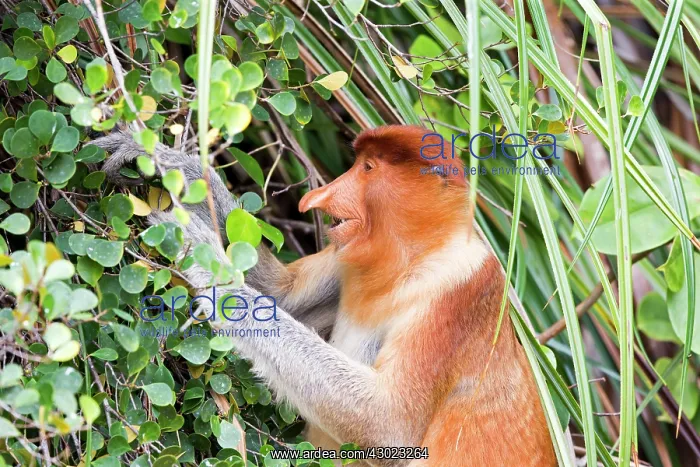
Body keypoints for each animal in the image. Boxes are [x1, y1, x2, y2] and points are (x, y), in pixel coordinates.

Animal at [93, 125, 556, 466]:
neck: (415, 257)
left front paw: (207, 261)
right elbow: (282, 295)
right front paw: (175, 164)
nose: (318, 197)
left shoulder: (460, 292)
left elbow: (386, 423)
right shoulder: (346, 256)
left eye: (368, 168)